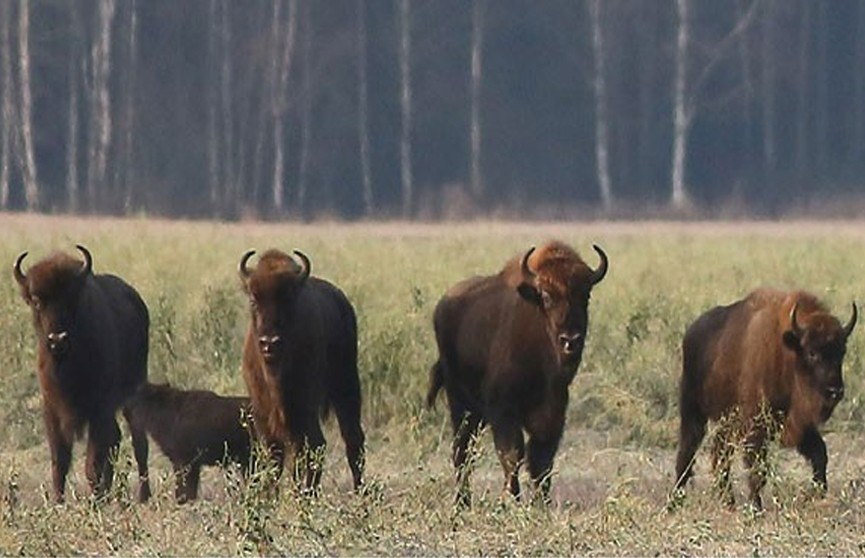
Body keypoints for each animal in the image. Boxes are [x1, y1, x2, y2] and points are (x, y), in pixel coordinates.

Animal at [13, 245, 151, 504]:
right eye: (36, 300)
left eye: (71, 298)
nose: (57, 340)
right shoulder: (52, 409)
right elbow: (60, 461)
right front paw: (58, 501)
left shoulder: (99, 409)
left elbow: (92, 463)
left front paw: (94, 501)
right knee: (116, 439)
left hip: (133, 393)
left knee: (139, 443)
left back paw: (142, 495)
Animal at [236, 249, 364, 494]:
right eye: (253, 300)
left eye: (288, 299)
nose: (270, 343)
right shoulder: (263, 413)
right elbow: (274, 457)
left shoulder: (303, 409)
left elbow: (306, 450)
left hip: (346, 387)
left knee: (350, 441)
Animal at [426, 241, 608, 508]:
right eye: (546, 296)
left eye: (586, 295)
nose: (570, 340)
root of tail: (441, 307)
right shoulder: (503, 410)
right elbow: (512, 454)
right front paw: (511, 500)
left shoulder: (552, 414)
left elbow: (541, 462)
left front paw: (541, 505)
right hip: (460, 402)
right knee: (462, 449)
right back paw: (462, 502)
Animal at [672, 288, 852, 512]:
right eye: (812, 353)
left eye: (841, 352)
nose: (835, 391)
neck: (788, 352)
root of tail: (691, 332)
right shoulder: (757, 426)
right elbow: (757, 469)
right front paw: (755, 509)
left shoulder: (799, 424)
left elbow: (820, 453)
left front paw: (815, 494)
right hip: (693, 410)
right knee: (688, 451)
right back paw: (675, 502)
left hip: (726, 421)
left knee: (719, 452)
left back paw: (728, 501)